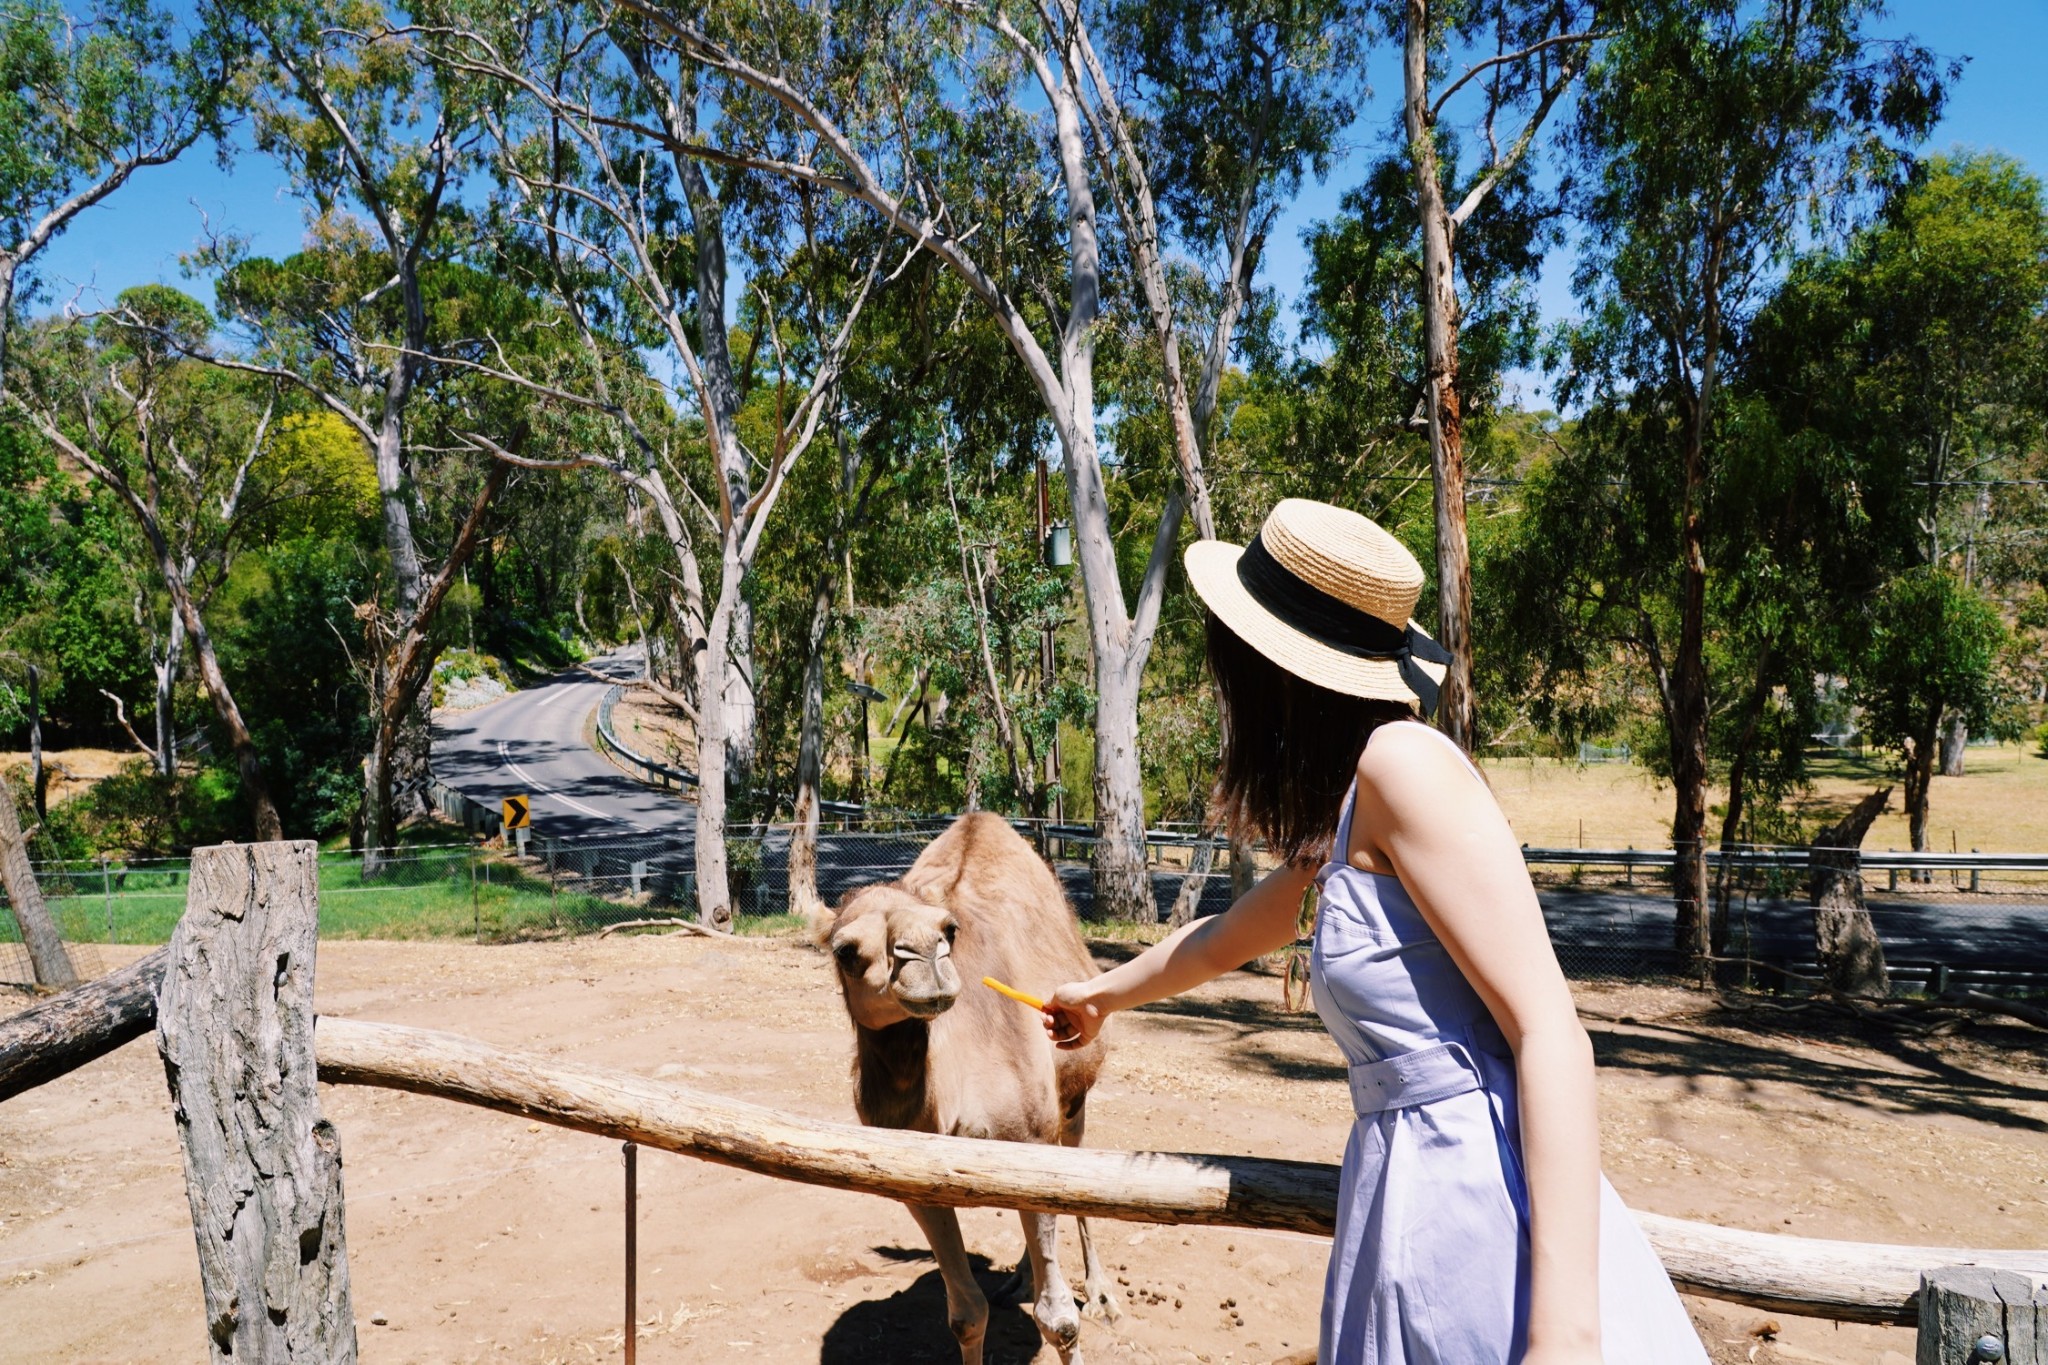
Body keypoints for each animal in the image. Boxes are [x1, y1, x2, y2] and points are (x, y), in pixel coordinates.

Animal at [815, 810, 1122, 1365]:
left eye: (948, 930)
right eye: (846, 951)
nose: (926, 957)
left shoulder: (1032, 1137)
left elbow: (1060, 1321)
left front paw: (1073, 1308)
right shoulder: (913, 1182)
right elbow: (965, 1315)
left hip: (1074, 1102)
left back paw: (1101, 1295)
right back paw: (1020, 1279)